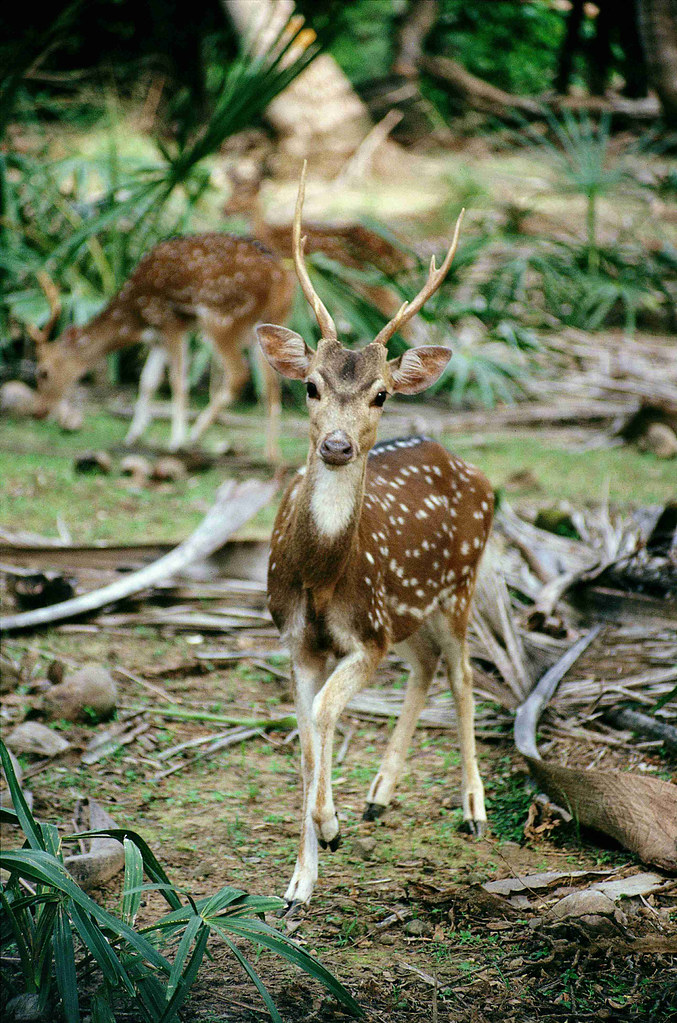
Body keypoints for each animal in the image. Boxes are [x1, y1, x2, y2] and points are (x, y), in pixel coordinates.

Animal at [32, 234, 294, 460]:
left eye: (43, 372)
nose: (39, 411)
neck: (135, 317)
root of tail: (282, 280)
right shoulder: (157, 336)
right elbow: (148, 380)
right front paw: (132, 435)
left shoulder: (170, 321)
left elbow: (178, 380)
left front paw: (176, 441)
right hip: (267, 325)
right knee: (272, 385)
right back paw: (272, 453)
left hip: (221, 317)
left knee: (239, 374)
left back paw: (195, 435)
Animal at [256, 163, 493, 910]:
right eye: (309, 385)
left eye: (381, 394)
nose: (336, 445)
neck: (320, 576)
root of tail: (470, 468)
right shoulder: (295, 637)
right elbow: (307, 738)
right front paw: (299, 881)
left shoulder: (368, 632)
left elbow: (326, 716)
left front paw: (327, 830)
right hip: (412, 610)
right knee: (426, 666)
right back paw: (378, 797)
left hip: (459, 585)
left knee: (463, 673)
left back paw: (473, 810)